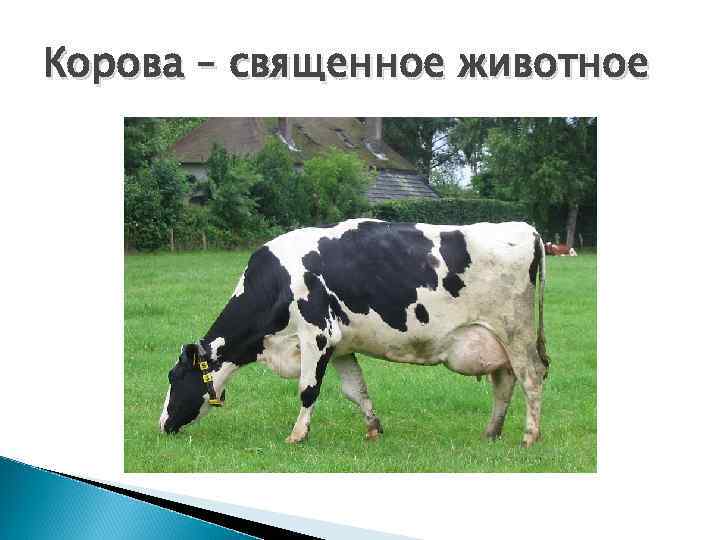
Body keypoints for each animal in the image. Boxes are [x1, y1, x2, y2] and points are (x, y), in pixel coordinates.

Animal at [159, 219, 550, 447]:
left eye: (174, 378)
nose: (161, 424)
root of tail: (527, 228)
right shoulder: (340, 345)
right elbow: (355, 390)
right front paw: (374, 428)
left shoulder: (316, 336)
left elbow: (307, 389)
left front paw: (297, 435)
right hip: (496, 340)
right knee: (504, 382)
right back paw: (491, 432)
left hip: (515, 331)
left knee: (531, 377)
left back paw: (529, 436)